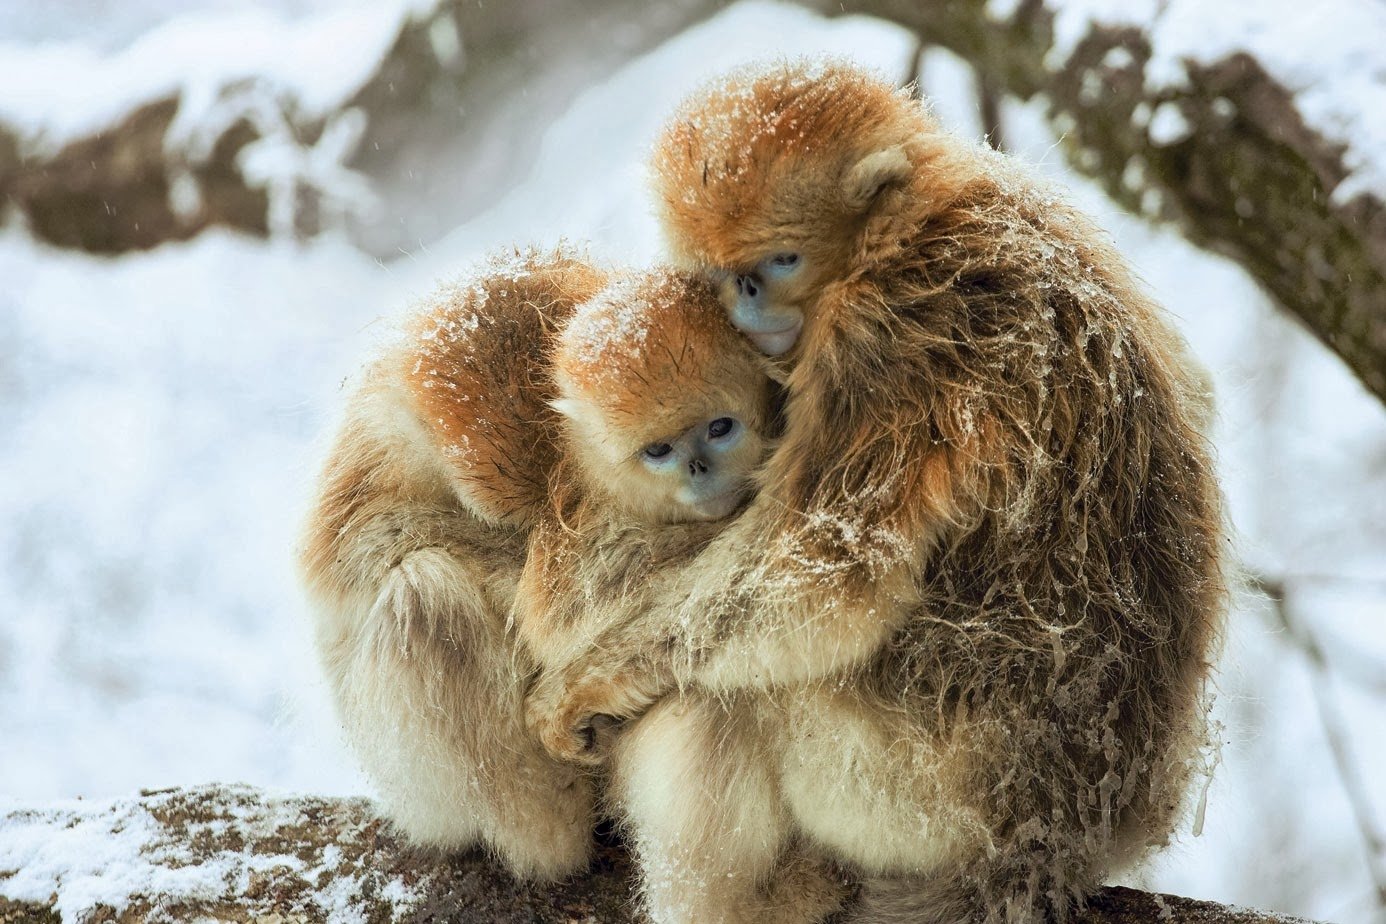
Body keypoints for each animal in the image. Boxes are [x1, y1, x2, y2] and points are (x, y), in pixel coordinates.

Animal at [523, 61, 1226, 924]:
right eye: (724, 272)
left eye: (781, 260)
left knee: (714, 706)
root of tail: (1061, 845)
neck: (916, 223)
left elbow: (818, 582)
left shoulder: (885, 341)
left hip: (904, 794)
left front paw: (576, 684)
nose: (747, 298)